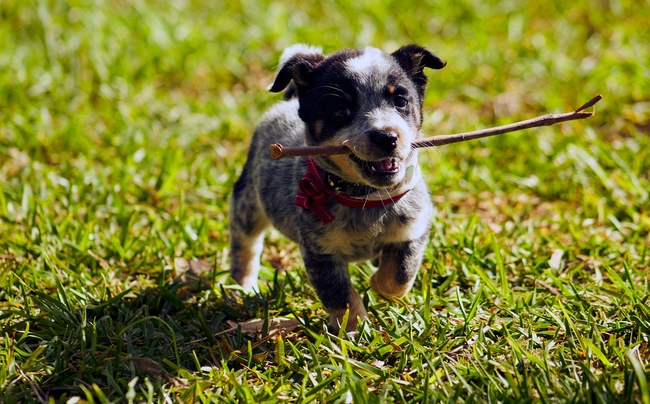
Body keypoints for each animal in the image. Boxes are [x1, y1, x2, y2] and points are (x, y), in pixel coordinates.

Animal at [228, 45, 446, 332]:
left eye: (401, 101)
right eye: (341, 111)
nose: (387, 137)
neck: (365, 198)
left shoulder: (414, 230)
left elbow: (399, 276)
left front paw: (378, 284)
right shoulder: (320, 252)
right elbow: (342, 297)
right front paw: (355, 330)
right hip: (248, 204)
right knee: (245, 244)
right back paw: (243, 287)